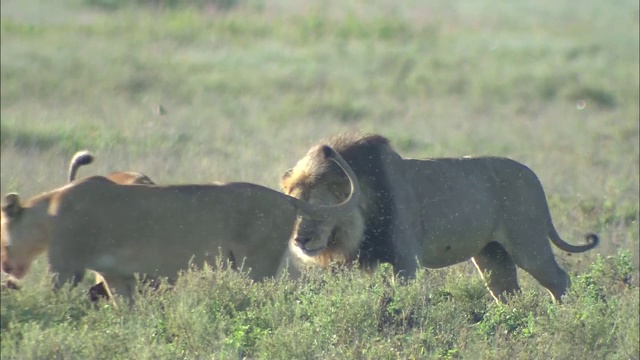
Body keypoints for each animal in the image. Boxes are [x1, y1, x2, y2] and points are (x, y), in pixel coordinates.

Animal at [1, 145, 360, 302]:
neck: (48, 211)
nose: (5, 267)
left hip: (255, 267)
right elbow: (126, 308)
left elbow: (56, 299)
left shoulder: (66, 267)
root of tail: (284, 198)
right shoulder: (116, 276)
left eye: (3, 241)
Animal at [282, 134, 600, 302]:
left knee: (559, 280)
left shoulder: (406, 259)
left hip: (528, 244)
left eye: (320, 212)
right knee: (508, 293)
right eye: (294, 212)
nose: (300, 240)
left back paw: (562, 317)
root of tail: (533, 176)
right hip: (492, 255)